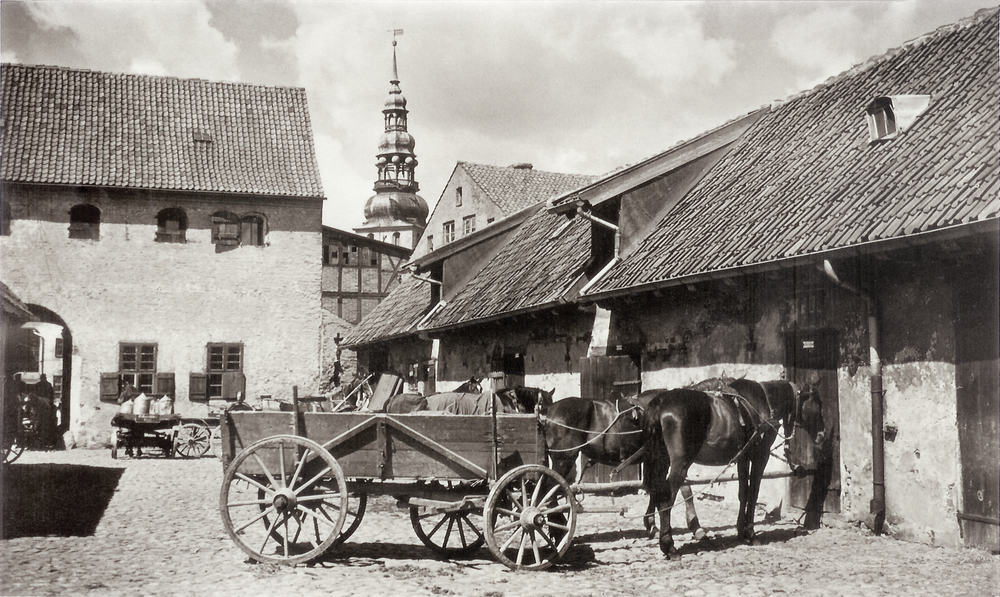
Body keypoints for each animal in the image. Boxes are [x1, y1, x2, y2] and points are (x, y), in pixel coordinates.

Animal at [548, 394, 704, 536]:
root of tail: (549, 410)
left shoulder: (654, 460)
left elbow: (654, 488)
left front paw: (651, 524)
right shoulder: (668, 460)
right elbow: (683, 488)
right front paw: (695, 526)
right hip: (563, 460)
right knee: (549, 492)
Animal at [644, 378, 824, 556]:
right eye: (818, 402)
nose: (822, 435)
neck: (765, 401)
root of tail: (661, 403)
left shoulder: (743, 458)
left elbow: (743, 492)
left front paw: (741, 531)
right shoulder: (760, 457)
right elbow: (753, 492)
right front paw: (751, 533)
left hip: (661, 461)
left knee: (657, 491)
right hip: (680, 463)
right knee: (667, 497)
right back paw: (669, 545)